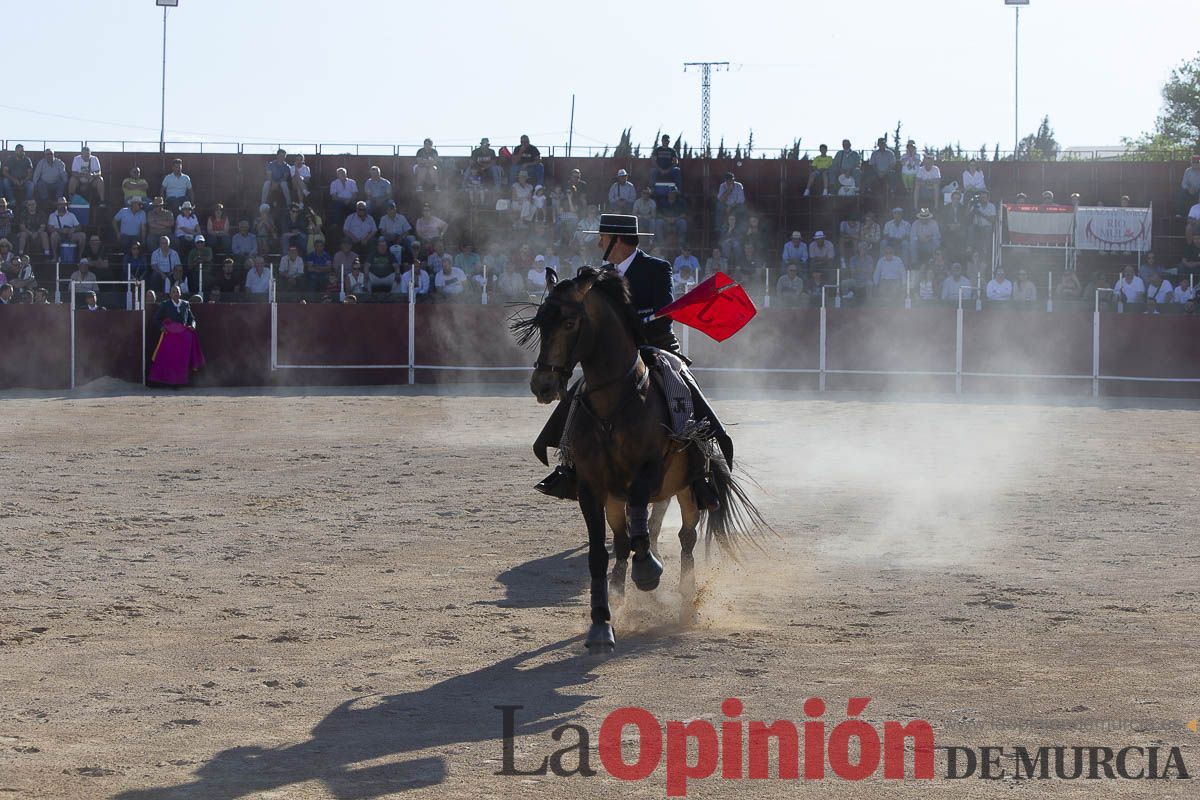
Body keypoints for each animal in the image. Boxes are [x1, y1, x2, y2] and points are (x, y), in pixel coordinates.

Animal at [511, 266, 763, 652]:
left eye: (569, 322)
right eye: (540, 323)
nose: (542, 385)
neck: (612, 407)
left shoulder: (650, 472)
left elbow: (645, 521)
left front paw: (648, 571)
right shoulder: (592, 488)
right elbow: (600, 552)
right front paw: (601, 623)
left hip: (688, 490)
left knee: (685, 538)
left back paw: (685, 602)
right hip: (617, 500)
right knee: (622, 541)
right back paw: (619, 593)